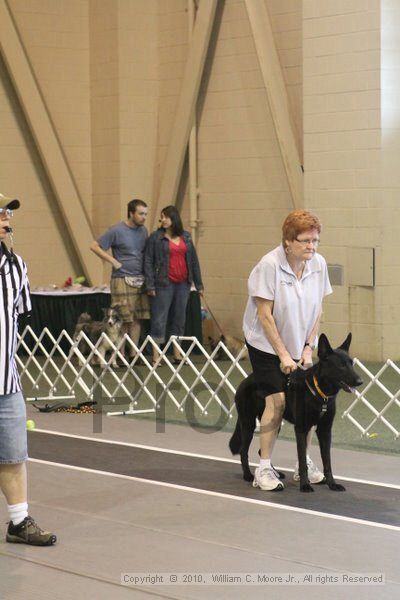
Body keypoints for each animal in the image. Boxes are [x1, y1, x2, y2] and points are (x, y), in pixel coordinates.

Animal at [228, 332, 362, 492]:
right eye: (341, 365)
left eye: (351, 364)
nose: (360, 381)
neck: (319, 393)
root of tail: (245, 381)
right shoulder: (301, 429)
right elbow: (302, 460)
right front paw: (304, 485)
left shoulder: (325, 431)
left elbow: (327, 462)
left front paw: (332, 484)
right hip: (249, 424)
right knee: (244, 451)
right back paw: (248, 475)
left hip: (275, 424)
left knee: (262, 450)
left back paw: (275, 473)